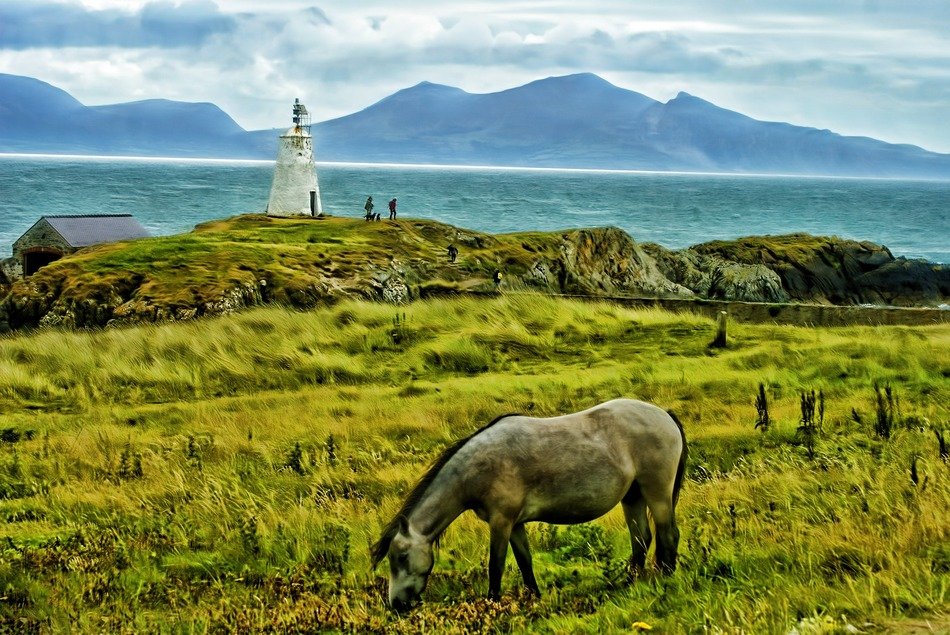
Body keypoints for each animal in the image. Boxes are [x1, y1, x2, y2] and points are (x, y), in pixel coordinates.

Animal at [370, 398, 687, 611]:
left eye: (400, 557)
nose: (396, 605)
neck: (479, 466)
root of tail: (665, 415)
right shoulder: (516, 524)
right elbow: (525, 561)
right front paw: (534, 597)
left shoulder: (501, 522)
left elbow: (495, 565)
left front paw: (492, 605)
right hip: (632, 497)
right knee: (641, 538)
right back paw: (627, 583)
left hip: (657, 493)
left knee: (667, 534)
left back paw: (666, 578)